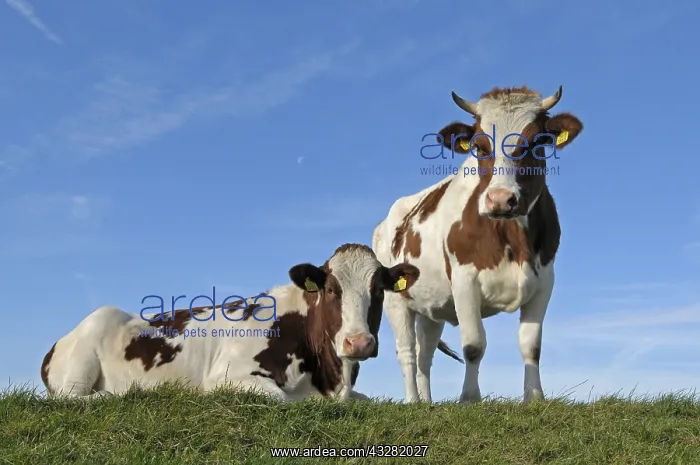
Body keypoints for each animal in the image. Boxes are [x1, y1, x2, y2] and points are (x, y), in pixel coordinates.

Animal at [41, 243, 461, 401]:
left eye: (379, 290)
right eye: (330, 289)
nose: (358, 343)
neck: (327, 376)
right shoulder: (227, 376)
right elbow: (281, 398)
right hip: (87, 349)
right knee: (73, 397)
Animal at [373, 85, 583, 404]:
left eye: (536, 143)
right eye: (481, 147)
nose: (501, 200)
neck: (513, 236)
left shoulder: (545, 281)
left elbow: (531, 345)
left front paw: (534, 397)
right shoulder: (464, 281)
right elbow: (473, 345)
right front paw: (470, 398)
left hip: (431, 308)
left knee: (425, 356)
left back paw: (426, 404)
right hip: (395, 299)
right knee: (407, 353)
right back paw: (412, 401)